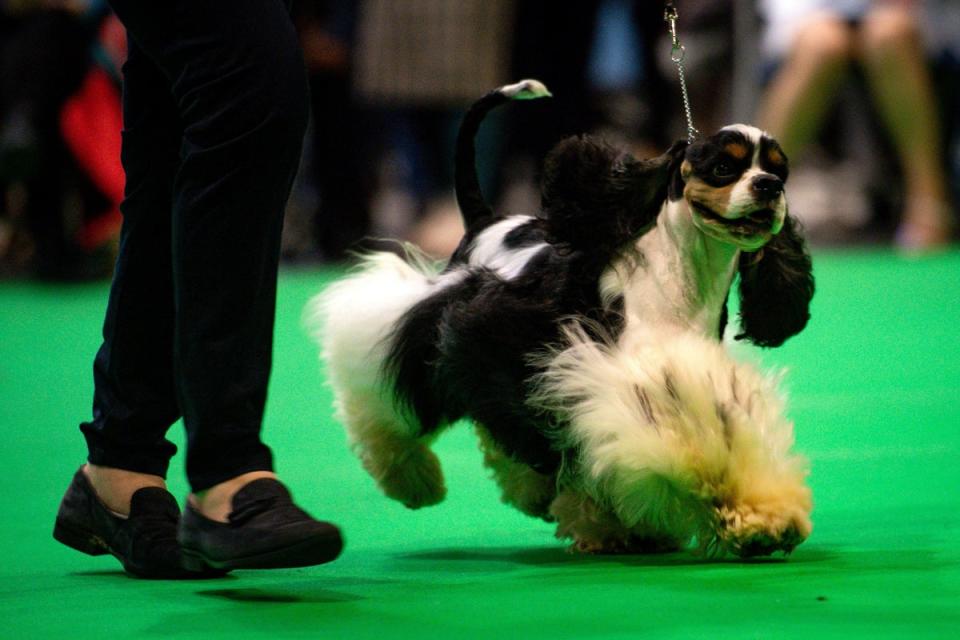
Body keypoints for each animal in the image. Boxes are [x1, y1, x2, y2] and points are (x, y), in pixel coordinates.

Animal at [310, 80, 816, 556]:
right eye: (725, 167)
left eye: (780, 171)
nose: (769, 187)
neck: (681, 278)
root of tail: (485, 222)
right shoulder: (599, 371)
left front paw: (758, 517)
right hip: (445, 330)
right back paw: (413, 480)